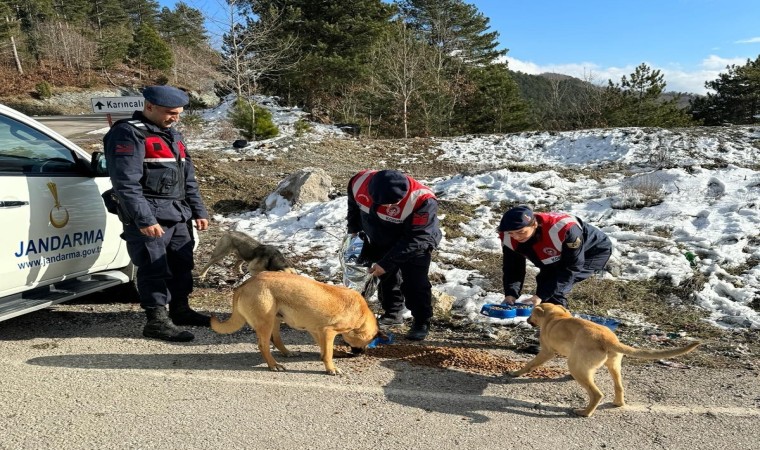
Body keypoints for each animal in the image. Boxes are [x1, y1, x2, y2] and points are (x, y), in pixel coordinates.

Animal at [211, 272, 380, 374]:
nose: (360, 353)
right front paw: (331, 368)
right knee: (263, 345)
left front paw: (331, 355)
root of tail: (243, 285)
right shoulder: (328, 331)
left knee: (276, 339)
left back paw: (287, 353)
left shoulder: (317, 331)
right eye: (367, 341)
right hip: (266, 322)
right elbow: (328, 353)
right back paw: (274, 365)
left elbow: (325, 349)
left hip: (275, 319)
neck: (361, 314)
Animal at [510, 304, 700, 416]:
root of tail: (609, 340)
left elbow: (531, 364)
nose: (527, 319)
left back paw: (585, 412)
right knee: (618, 387)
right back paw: (617, 403)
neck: (556, 316)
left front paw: (516, 373)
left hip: (576, 366)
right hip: (614, 366)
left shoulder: (547, 352)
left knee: (596, 393)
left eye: (531, 314)